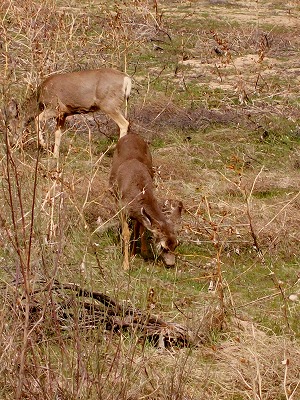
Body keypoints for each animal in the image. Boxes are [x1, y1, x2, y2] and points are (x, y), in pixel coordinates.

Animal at [109, 132, 182, 268]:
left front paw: (140, 252)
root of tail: (130, 135)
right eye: (163, 247)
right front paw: (126, 264)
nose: (170, 264)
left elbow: (140, 228)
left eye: (176, 244)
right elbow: (126, 233)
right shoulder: (122, 208)